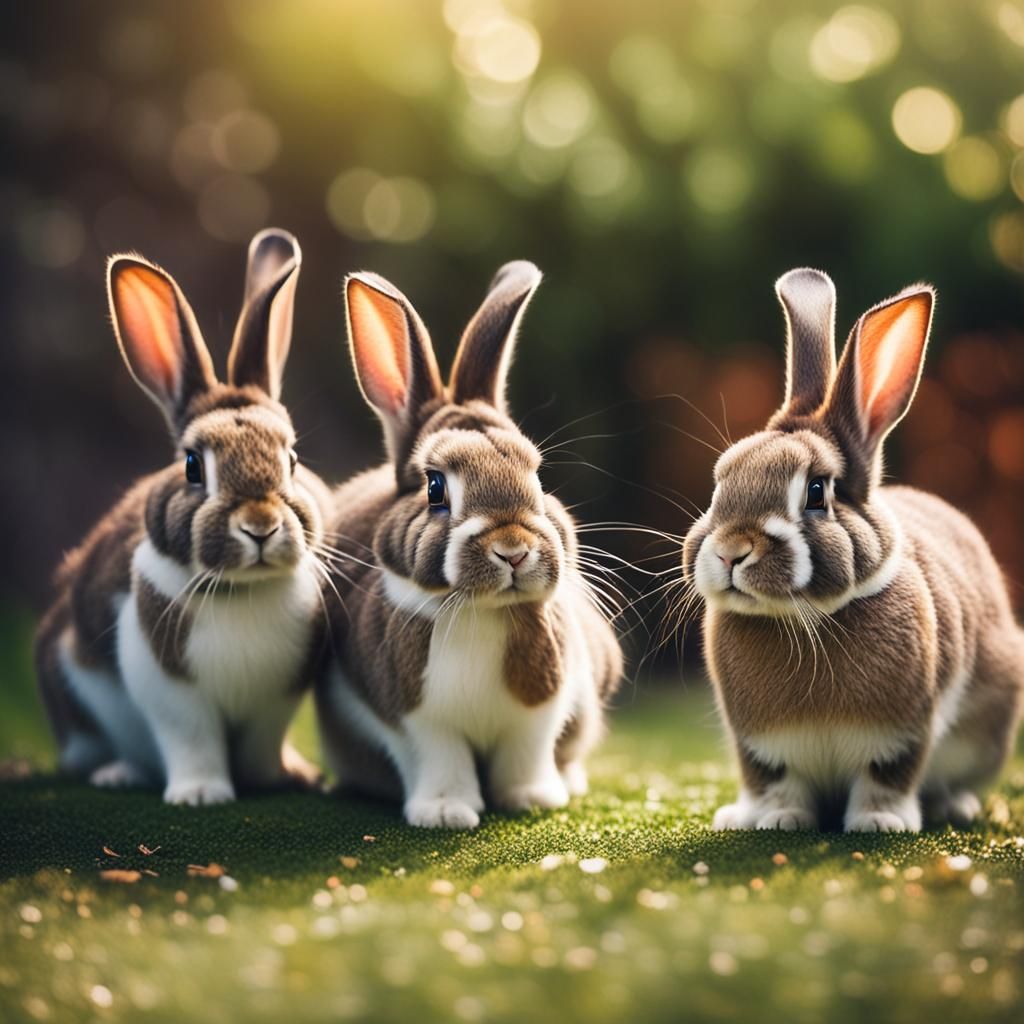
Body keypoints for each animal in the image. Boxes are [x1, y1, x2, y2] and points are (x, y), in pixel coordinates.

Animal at [35, 229, 333, 804]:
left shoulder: (274, 705)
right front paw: (200, 795)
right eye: (193, 466)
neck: (244, 593)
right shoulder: (171, 695)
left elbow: (261, 747)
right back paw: (119, 774)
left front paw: (281, 780)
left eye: (292, 459)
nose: (260, 526)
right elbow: (191, 740)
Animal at [315, 262, 622, 829]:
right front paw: (444, 813)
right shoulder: (416, 724)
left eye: (538, 477)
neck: (482, 611)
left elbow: (526, 757)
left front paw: (533, 800)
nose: (513, 549)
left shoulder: (538, 717)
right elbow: (442, 761)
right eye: (435, 487)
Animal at [682, 268, 1024, 833]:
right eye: (720, 482)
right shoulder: (760, 749)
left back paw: (953, 806)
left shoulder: (904, 734)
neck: (807, 618)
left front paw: (879, 823)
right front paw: (779, 820)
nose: (731, 552)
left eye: (817, 492)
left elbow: (887, 777)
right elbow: (776, 782)